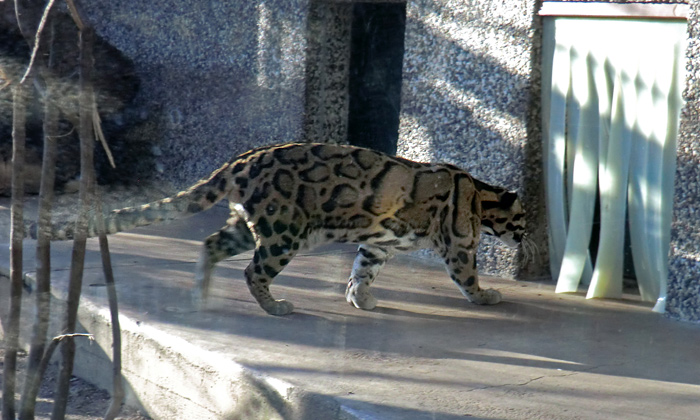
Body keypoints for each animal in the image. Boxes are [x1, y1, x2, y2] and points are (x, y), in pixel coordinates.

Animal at [38, 143, 524, 314]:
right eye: (523, 219)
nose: (526, 237)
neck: (480, 194)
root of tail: (239, 160)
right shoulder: (459, 244)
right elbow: (467, 276)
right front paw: (486, 296)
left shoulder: (378, 243)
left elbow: (362, 270)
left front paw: (360, 298)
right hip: (283, 232)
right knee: (253, 271)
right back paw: (274, 306)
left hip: (249, 224)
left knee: (210, 244)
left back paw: (200, 292)